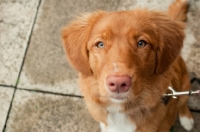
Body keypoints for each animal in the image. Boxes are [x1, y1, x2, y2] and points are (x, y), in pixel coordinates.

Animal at [62, 0, 194, 132]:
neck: (121, 111)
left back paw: (187, 118)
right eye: (100, 44)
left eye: (141, 43)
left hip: (185, 84)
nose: (118, 83)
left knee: (183, 102)